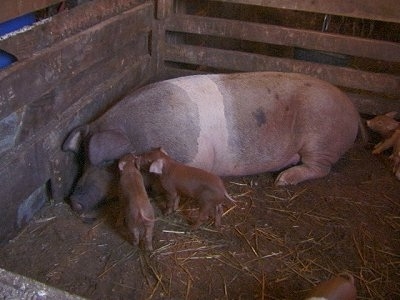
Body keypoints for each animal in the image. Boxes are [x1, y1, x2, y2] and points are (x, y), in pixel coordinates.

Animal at [63, 72, 360, 213]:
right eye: (82, 159)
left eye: (110, 163)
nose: (73, 202)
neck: (140, 135)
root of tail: (352, 108)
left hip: (320, 140)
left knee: (321, 168)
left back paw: (282, 180)